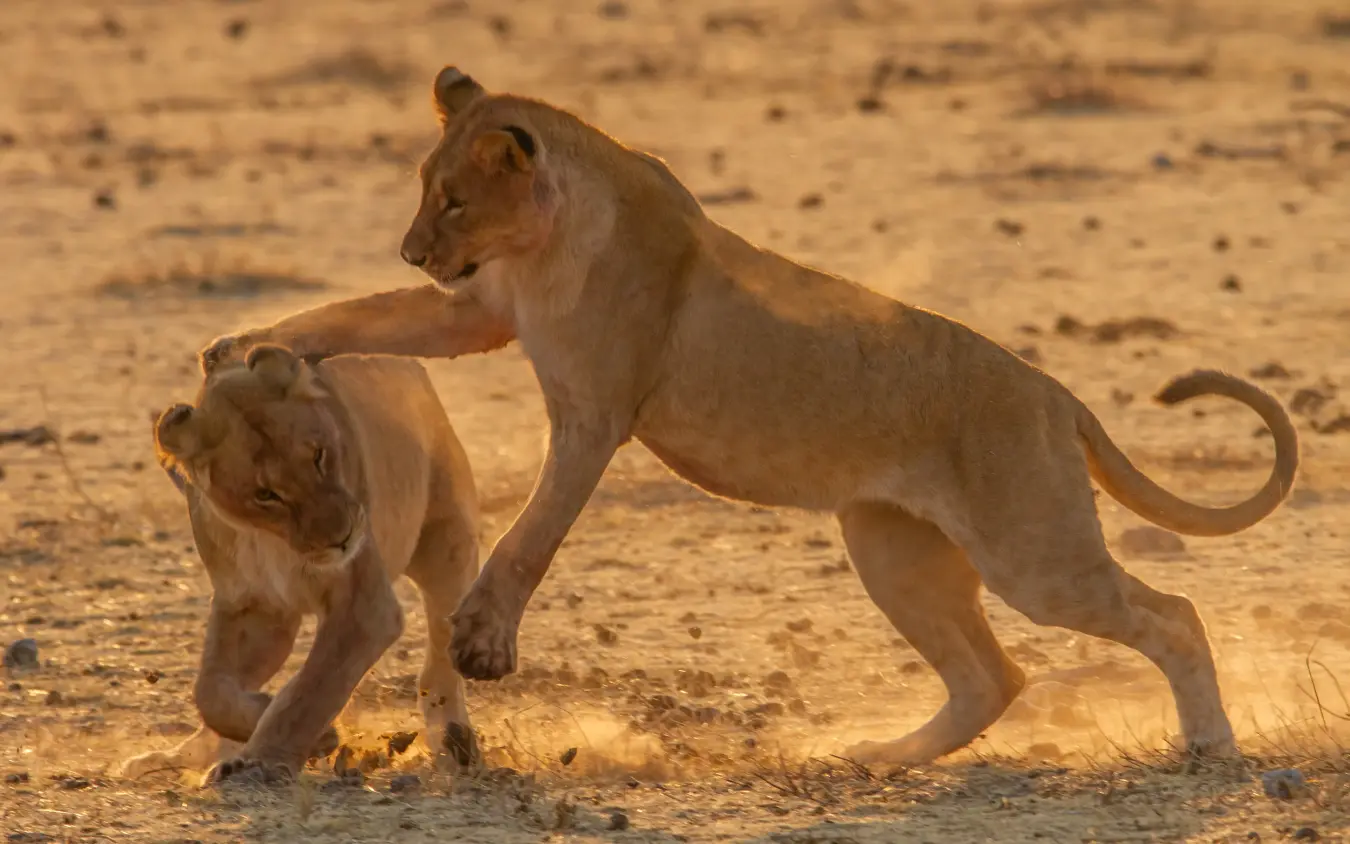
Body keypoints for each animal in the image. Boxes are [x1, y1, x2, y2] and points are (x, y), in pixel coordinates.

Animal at [118, 344, 481, 785]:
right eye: (265, 494)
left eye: (319, 456)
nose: (343, 538)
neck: (269, 541)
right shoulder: (255, 608)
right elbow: (210, 691)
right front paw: (288, 732)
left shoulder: (362, 606)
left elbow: (314, 686)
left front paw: (266, 758)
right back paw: (180, 759)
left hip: (446, 542)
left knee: (441, 653)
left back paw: (454, 742)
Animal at [201, 66, 1299, 766]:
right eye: (428, 191)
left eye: (456, 200)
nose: (413, 248)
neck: (554, 234)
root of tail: (1057, 394)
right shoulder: (477, 313)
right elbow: (358, 315)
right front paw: (250, 344)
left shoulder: (597, 412)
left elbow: (532, 537)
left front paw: (483, 641)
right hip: (891, 547)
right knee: (994, 677)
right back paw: (881, 758)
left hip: (1032, 552)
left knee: (1171, 614)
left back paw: (1211, 742)